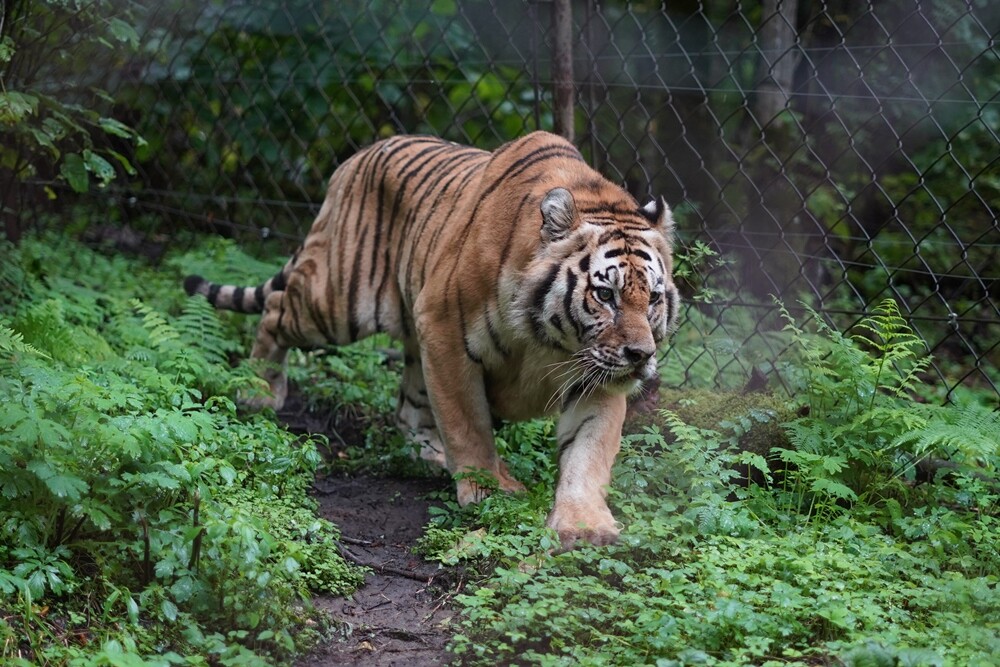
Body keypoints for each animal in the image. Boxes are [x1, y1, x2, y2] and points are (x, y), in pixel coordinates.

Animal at [184, 130, 680, 548]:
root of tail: (356, 157)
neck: (549, 341)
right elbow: (468, 424)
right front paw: (490, 488)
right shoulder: (446, 332)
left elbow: (589, 451)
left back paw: (431, 457)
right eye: (605, 294)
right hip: (338, 302)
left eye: (653, 298)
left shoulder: (597, 373)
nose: (640, 355)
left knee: (409, 408)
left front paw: (585, 525)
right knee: (274, 309)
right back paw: (260, 391)